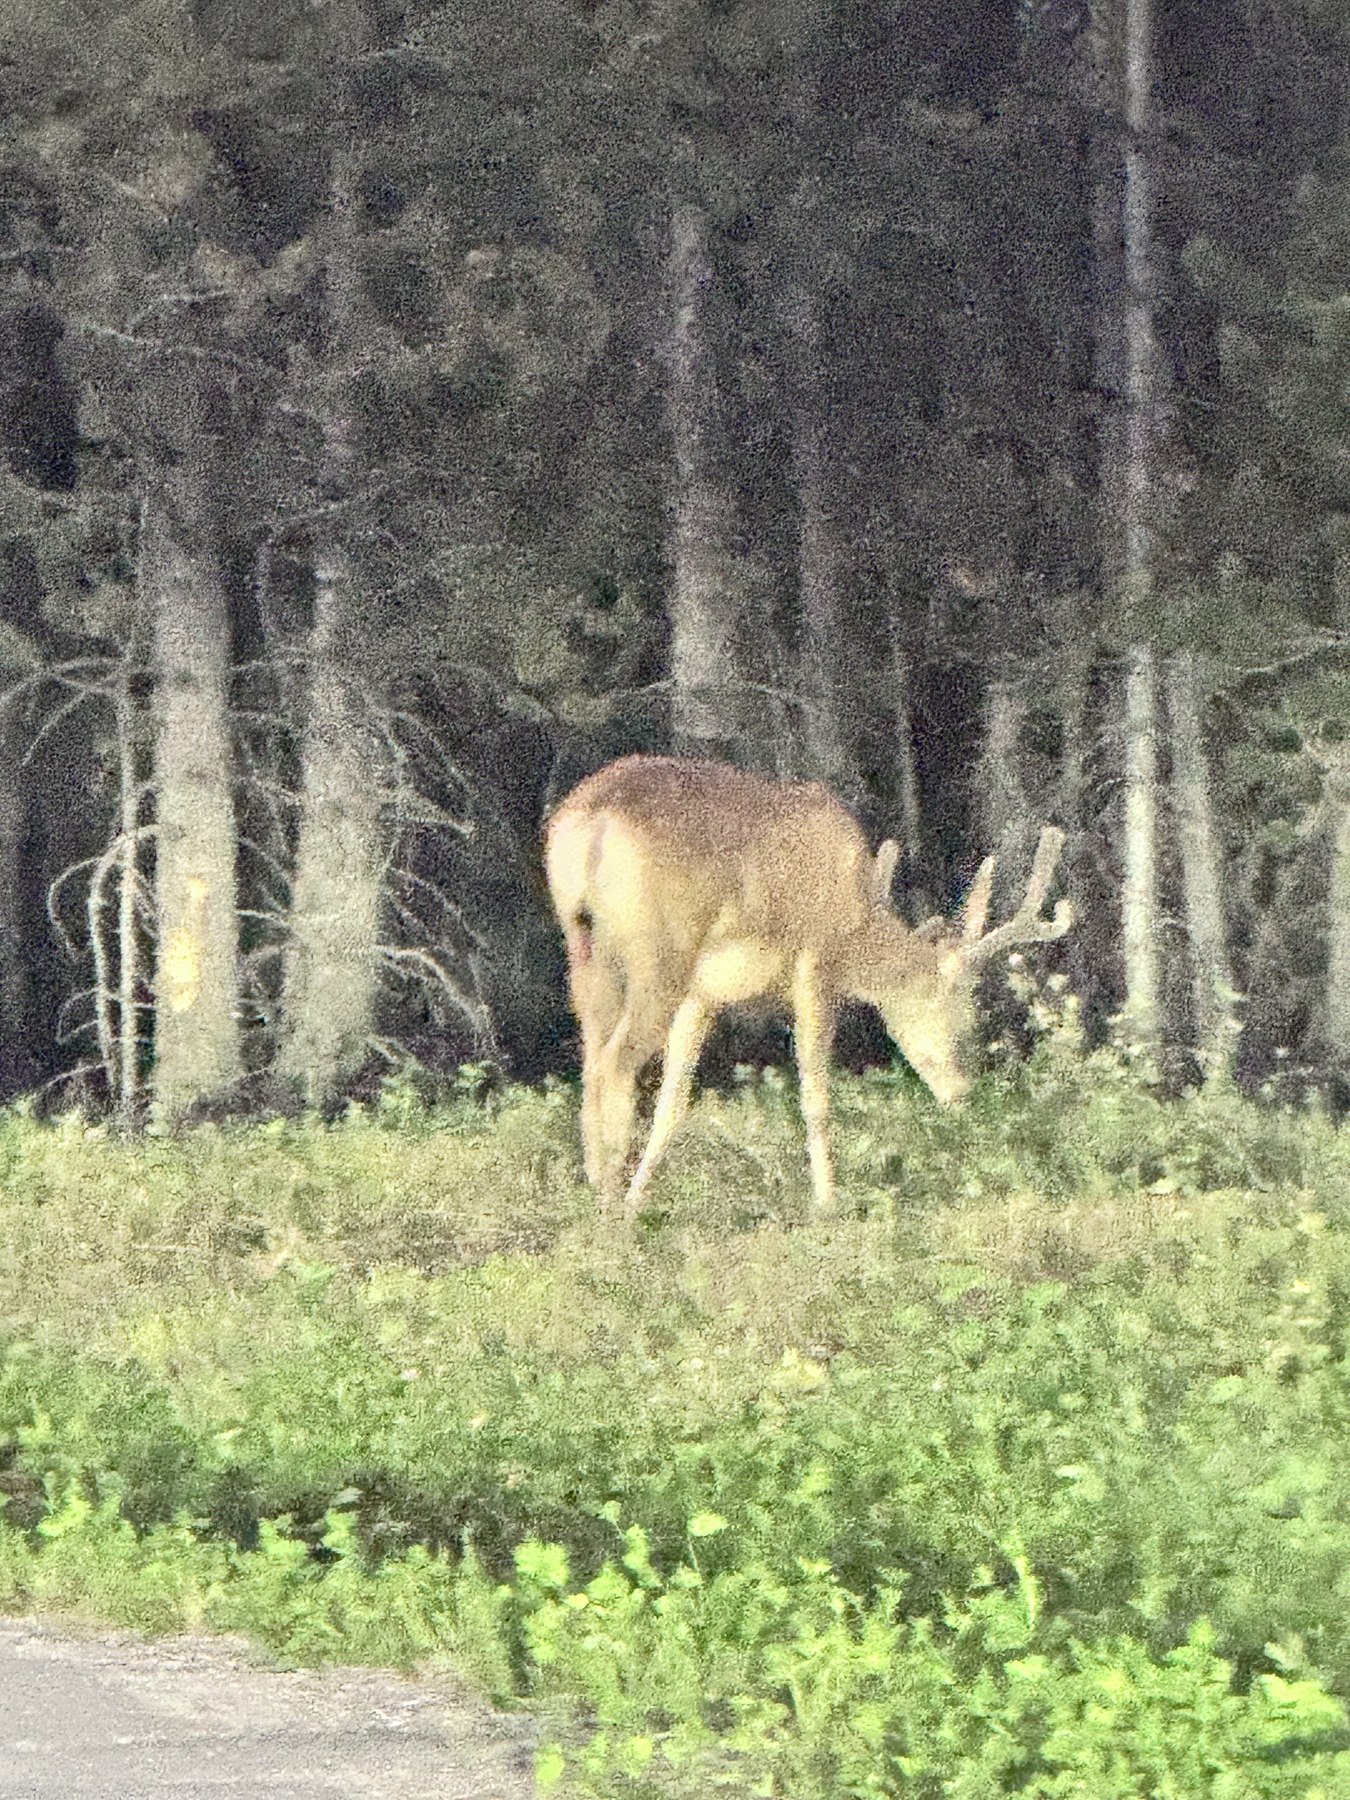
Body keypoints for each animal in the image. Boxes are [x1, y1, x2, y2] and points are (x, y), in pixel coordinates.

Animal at [544, 754, 1072, 1219]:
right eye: (963, 1009)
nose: (962, 1093)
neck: (861, 929)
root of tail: (592, 822)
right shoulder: (817, 961)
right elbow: (816, 1095)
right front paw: (827, 1202)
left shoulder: (704, 993)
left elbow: (673, 1102)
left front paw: (641, 1198)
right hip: (660, 949)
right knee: (615, 1062)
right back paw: (608, 1199)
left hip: (585, 945)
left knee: (591, 1059)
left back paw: (598, 1189)